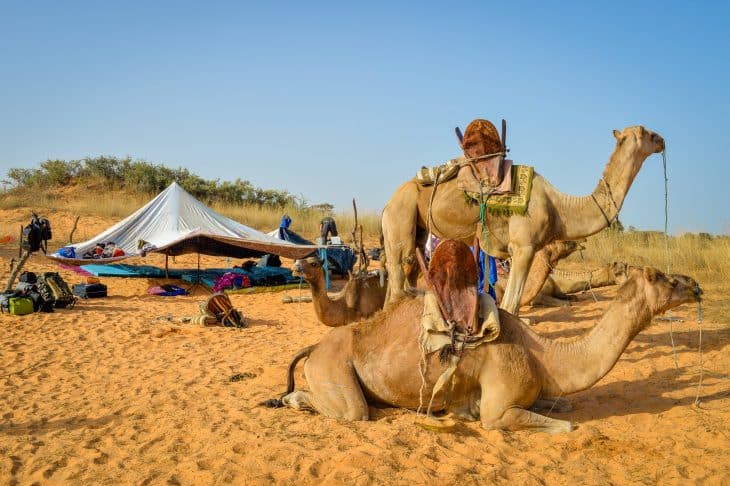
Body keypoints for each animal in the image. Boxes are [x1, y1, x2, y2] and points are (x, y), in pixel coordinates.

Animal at [268, 240, 700, 432]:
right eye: (662, 278)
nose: (695, 285)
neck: (541, 354)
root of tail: (315, 347)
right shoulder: (499, 410)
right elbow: (567, 425)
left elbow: (564, 406)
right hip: (334, 370)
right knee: (349, 410)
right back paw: (290, 400)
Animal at [382, 125, 664, 316]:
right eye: (647, 133)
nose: (662, 140)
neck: (558, 206)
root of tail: (387, 203)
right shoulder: (523, 247)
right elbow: (510, 305)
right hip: (400, 217)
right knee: (399, 273)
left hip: (417, 228)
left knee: (407, 277)